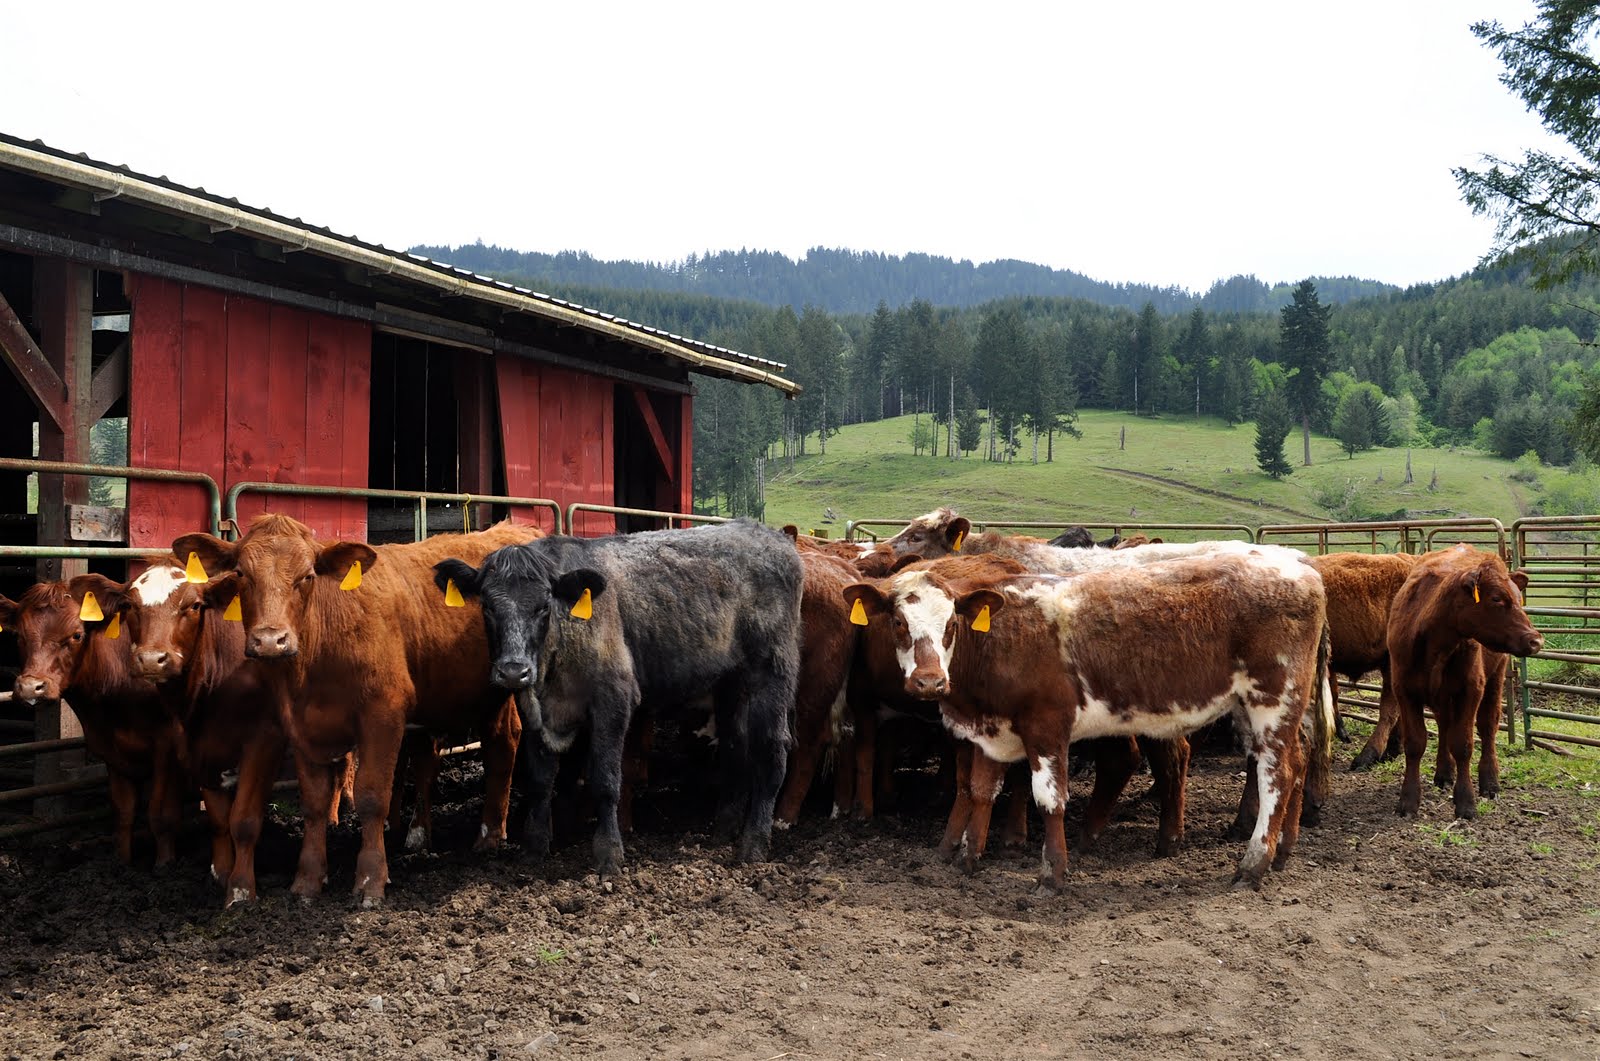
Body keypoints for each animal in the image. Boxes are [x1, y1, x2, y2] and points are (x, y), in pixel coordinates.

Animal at [0, 579, 183, 868]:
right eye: (18, 634)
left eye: (77, 635)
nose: (31, 687)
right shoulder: (111, 747)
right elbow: (123, 812)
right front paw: (122, 863)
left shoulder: (168, 743)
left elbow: (161, 813)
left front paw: (164, 865)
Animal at [171, 516, 538, 905]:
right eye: (241, 573)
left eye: (307, 576)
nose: (271, 640)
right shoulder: (300, 726)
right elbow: (315, 803)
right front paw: (308, 880)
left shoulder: (383, 716)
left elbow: (372, 797)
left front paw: (370, 880)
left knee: (504, 745)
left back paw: (490, 835)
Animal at [434, 520, 802, 877]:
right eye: (488, 607)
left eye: (543, 606)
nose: (514, 671)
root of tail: (771, 536)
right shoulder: (534, 710)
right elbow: (540, 780)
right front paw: (534, 849)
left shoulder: (613, 699)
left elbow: (605, 780)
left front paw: (609, 855)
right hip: (730, 684)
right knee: (735, 748)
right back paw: (723, 832)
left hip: (772, 673)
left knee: (772, 749)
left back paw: (753, 844)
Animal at [844, 548, 1329, 891]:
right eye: (899, 623)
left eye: (950, 626)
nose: (929, 681)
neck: (1003, 639)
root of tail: (1302, 567)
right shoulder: (991, 732)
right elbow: (981, 791)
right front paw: (967, 859)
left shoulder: (1046, 728)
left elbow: (1049, 799)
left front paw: (1052, 873)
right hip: (1264, 706)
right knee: (1297, 761)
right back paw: (1282, 852)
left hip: (1272, 699)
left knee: (1276, 775)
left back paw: (1253, 864)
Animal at [1388, 545, 1542, 820]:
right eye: (1496, 598)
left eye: (1519, 598)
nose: (1535, 640)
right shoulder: (1404, 690)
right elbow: (1415, 743)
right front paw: (1408, 800)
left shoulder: (1471, 689)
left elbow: (1463, 743)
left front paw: (1466, 802)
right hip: (1441, 694)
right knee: (1444, 724)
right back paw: (1444, 773)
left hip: (1495, 678)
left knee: (1488, 727)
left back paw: (1490, 782)